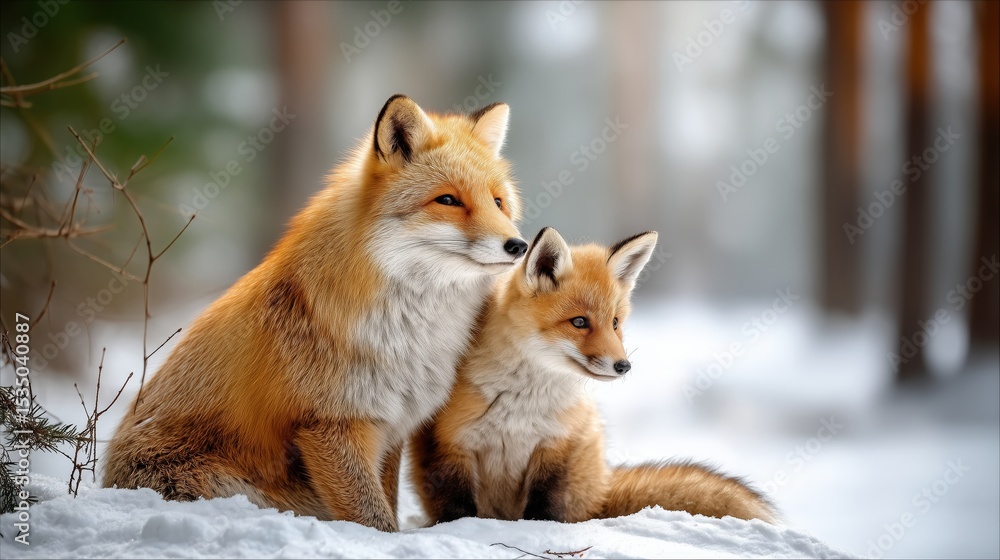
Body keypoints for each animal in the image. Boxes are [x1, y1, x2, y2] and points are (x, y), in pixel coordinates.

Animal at [103, 95, 528, 532]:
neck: (410, 332)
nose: (519, 245)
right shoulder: (330, 424)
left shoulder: (391, 427)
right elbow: (374, 519)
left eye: (498, 202)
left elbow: (387, 502)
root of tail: (108, 478)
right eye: (448, 200)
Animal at [410, 227, 776, 525]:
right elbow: (458, 510)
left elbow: (545, 509)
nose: (623, 366)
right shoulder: (452, 443)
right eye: (579, 322)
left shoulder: (556, 447)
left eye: (614, 323)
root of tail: (603, 486)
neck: (522, 403)